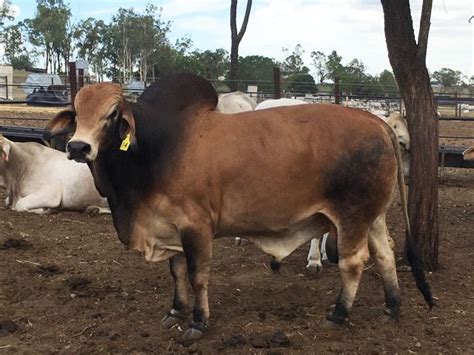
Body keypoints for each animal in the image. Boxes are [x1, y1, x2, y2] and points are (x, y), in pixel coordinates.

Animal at [44, 73, 434, 346]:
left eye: (112, 114)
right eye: (76, 113)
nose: (78, 147)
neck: (157, 148)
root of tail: (376, 122)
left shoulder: (196, 225)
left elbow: (197, 275)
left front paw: (197, 323)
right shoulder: (170, 225)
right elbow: (176, 272)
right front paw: (175, 311)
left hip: (352, 215)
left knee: (354, 263)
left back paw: (338, 315)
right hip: (374, 216)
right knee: (385, 254)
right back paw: (392, 307)